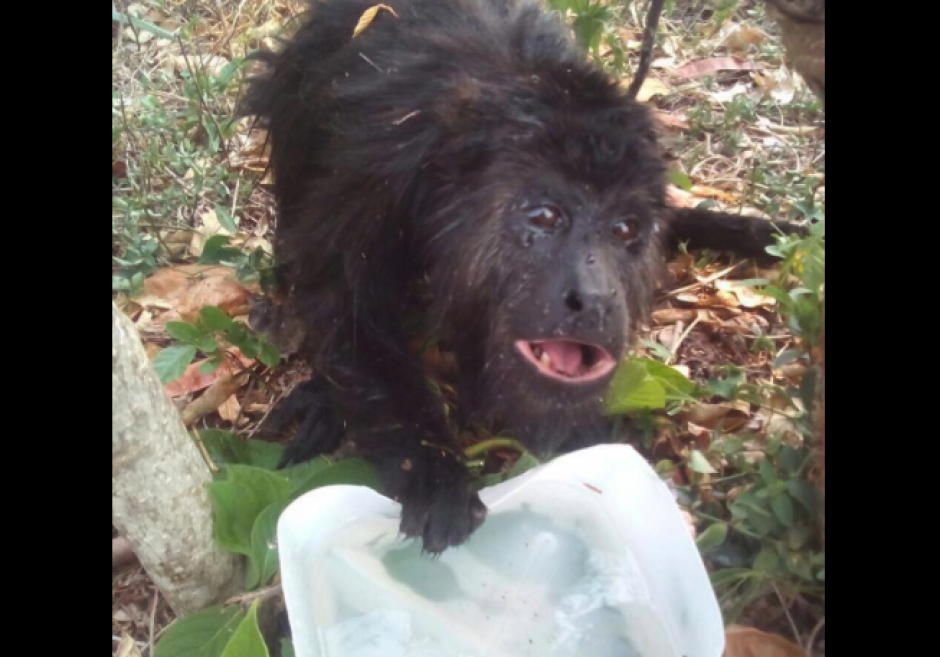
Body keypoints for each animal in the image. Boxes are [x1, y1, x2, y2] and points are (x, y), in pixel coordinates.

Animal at [243, 0, 808, 553]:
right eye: (545, 217)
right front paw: (435, 472)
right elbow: (344, 307)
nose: (596, 298)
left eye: (625, 229)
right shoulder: (377, 170)